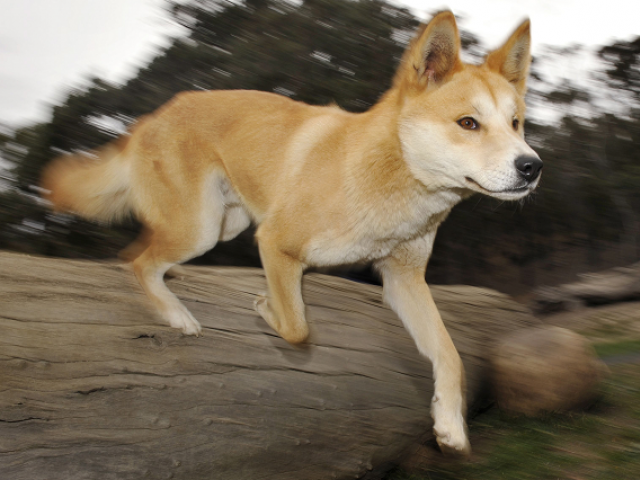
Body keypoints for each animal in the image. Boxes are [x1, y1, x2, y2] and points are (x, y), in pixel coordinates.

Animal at [41, 11, 540, 454]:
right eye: (468, 123)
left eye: (516, 123)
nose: (532, 166)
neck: (389, 182)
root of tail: (150, 118)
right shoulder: (275, 243)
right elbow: (299, 328)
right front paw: (267, 307)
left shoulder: (404, 279)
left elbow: (451, 355)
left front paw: (449, 424)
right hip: (200, 228)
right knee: (137, 260)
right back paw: (176, 314)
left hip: (224, 224)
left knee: (140, 252)